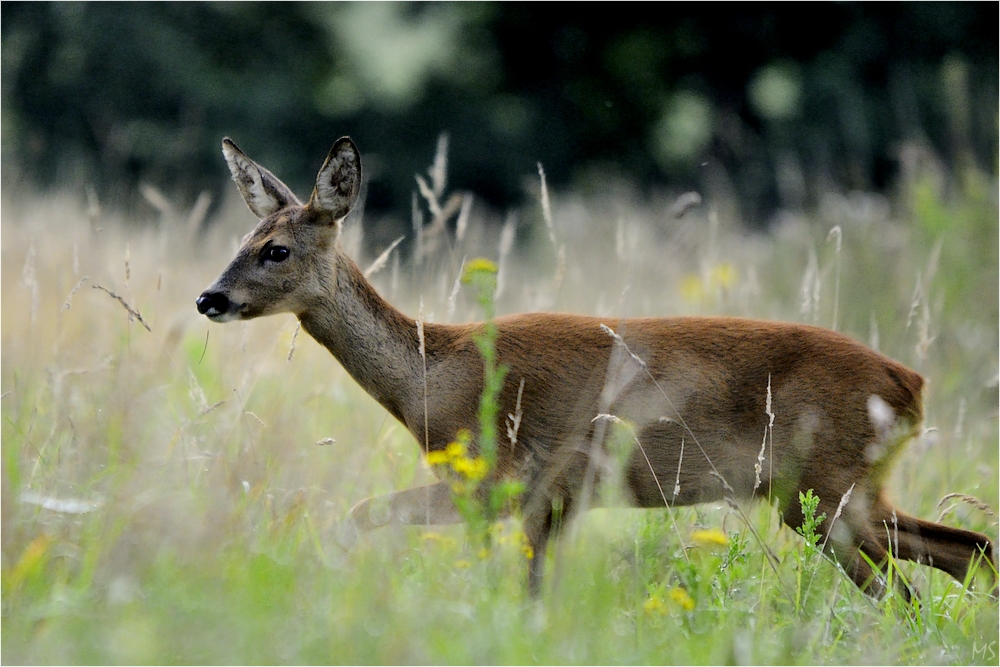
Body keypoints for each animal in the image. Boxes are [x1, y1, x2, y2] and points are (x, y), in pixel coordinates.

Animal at [199, 137, 996, 600]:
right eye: (243, 239)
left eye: (275, 250)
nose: (210, 297)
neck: (436, 375)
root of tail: (911, 386)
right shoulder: (537, 498)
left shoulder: (517, 480)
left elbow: (373, 522)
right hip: (837, 493)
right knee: (964, 552)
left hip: (827, 488)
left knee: (909, 585)